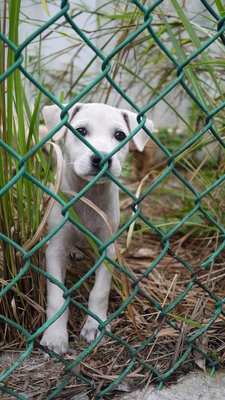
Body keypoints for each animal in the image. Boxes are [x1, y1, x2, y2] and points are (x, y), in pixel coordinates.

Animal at [40, 101, 153, 354]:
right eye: (81, 131)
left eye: (120, 135)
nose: (101, 159)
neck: (89, 194)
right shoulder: (55, 250)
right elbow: (57, 296)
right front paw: (55, 336)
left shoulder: (107, 249)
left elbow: (100, 291)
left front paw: (95, 325)